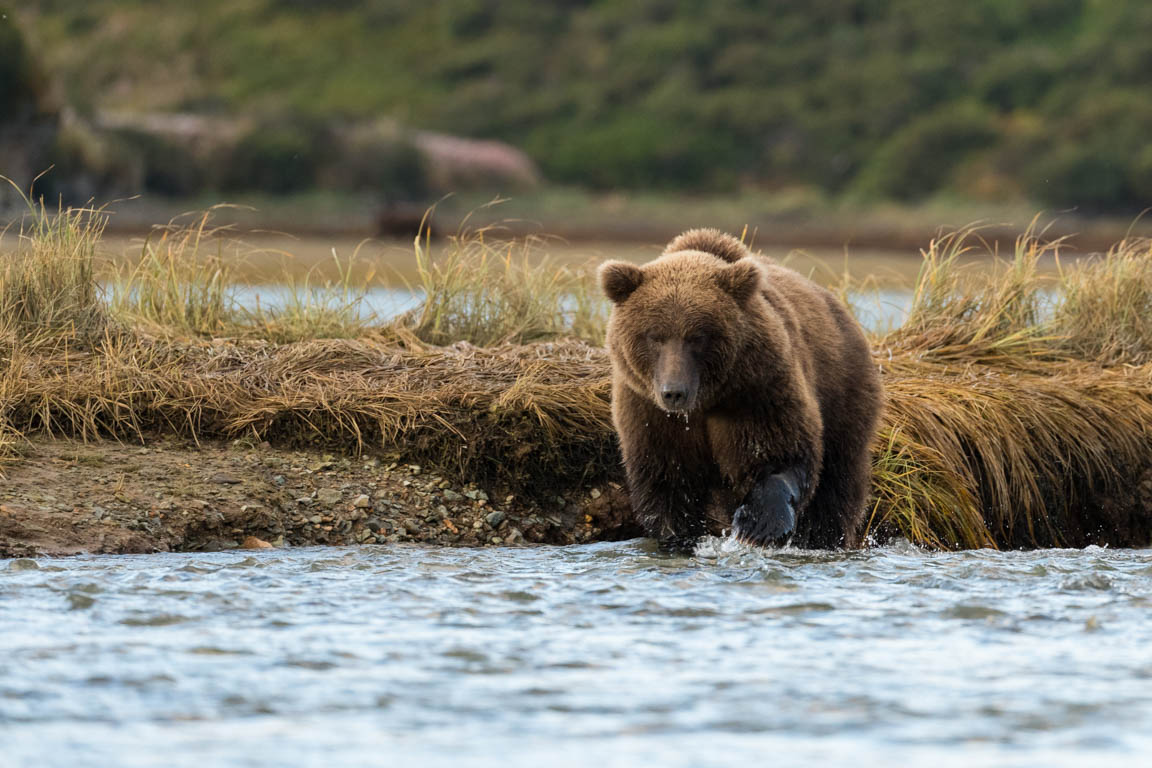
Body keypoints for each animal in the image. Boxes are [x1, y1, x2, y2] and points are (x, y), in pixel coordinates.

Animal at [603, 231, 880, 550]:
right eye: (654, 336)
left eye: (697, 337)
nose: (673, 392)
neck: (705, 402)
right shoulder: (649, 412)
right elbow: (667, 481)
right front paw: (678, 538)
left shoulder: (757, 389)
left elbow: (781, 452)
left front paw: (757, 526)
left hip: (844, 393)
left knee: (837, 486)